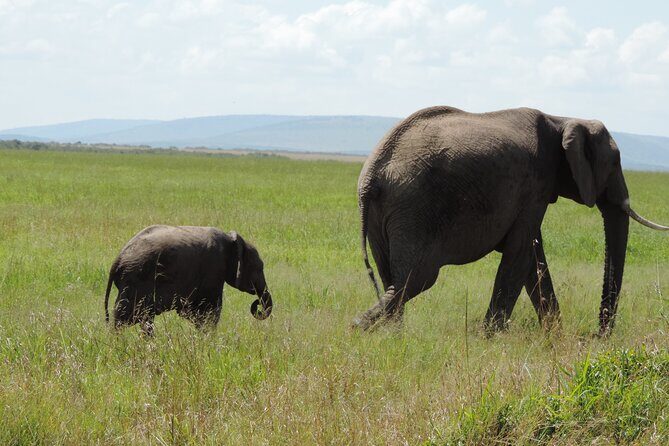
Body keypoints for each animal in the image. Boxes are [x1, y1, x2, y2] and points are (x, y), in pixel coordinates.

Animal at [104, 225, 272, 335]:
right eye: (258, 267)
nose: (257, 304)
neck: (231, 240)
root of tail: (117, 260)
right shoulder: (214, 269)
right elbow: (211, 309)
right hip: (136, 281)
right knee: (125, 317)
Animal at [353, 106, 668, 335]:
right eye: (614, 162)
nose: (597, 336)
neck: (562, 119)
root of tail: (372, 176)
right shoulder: (535, 183)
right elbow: (522, 253)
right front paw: (491, 338)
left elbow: (533, 257)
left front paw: (554, 337)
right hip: (415, 209)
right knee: (417, 278)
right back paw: (358, 327)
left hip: (389, 214)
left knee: (392, 277)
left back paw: (391, 336)